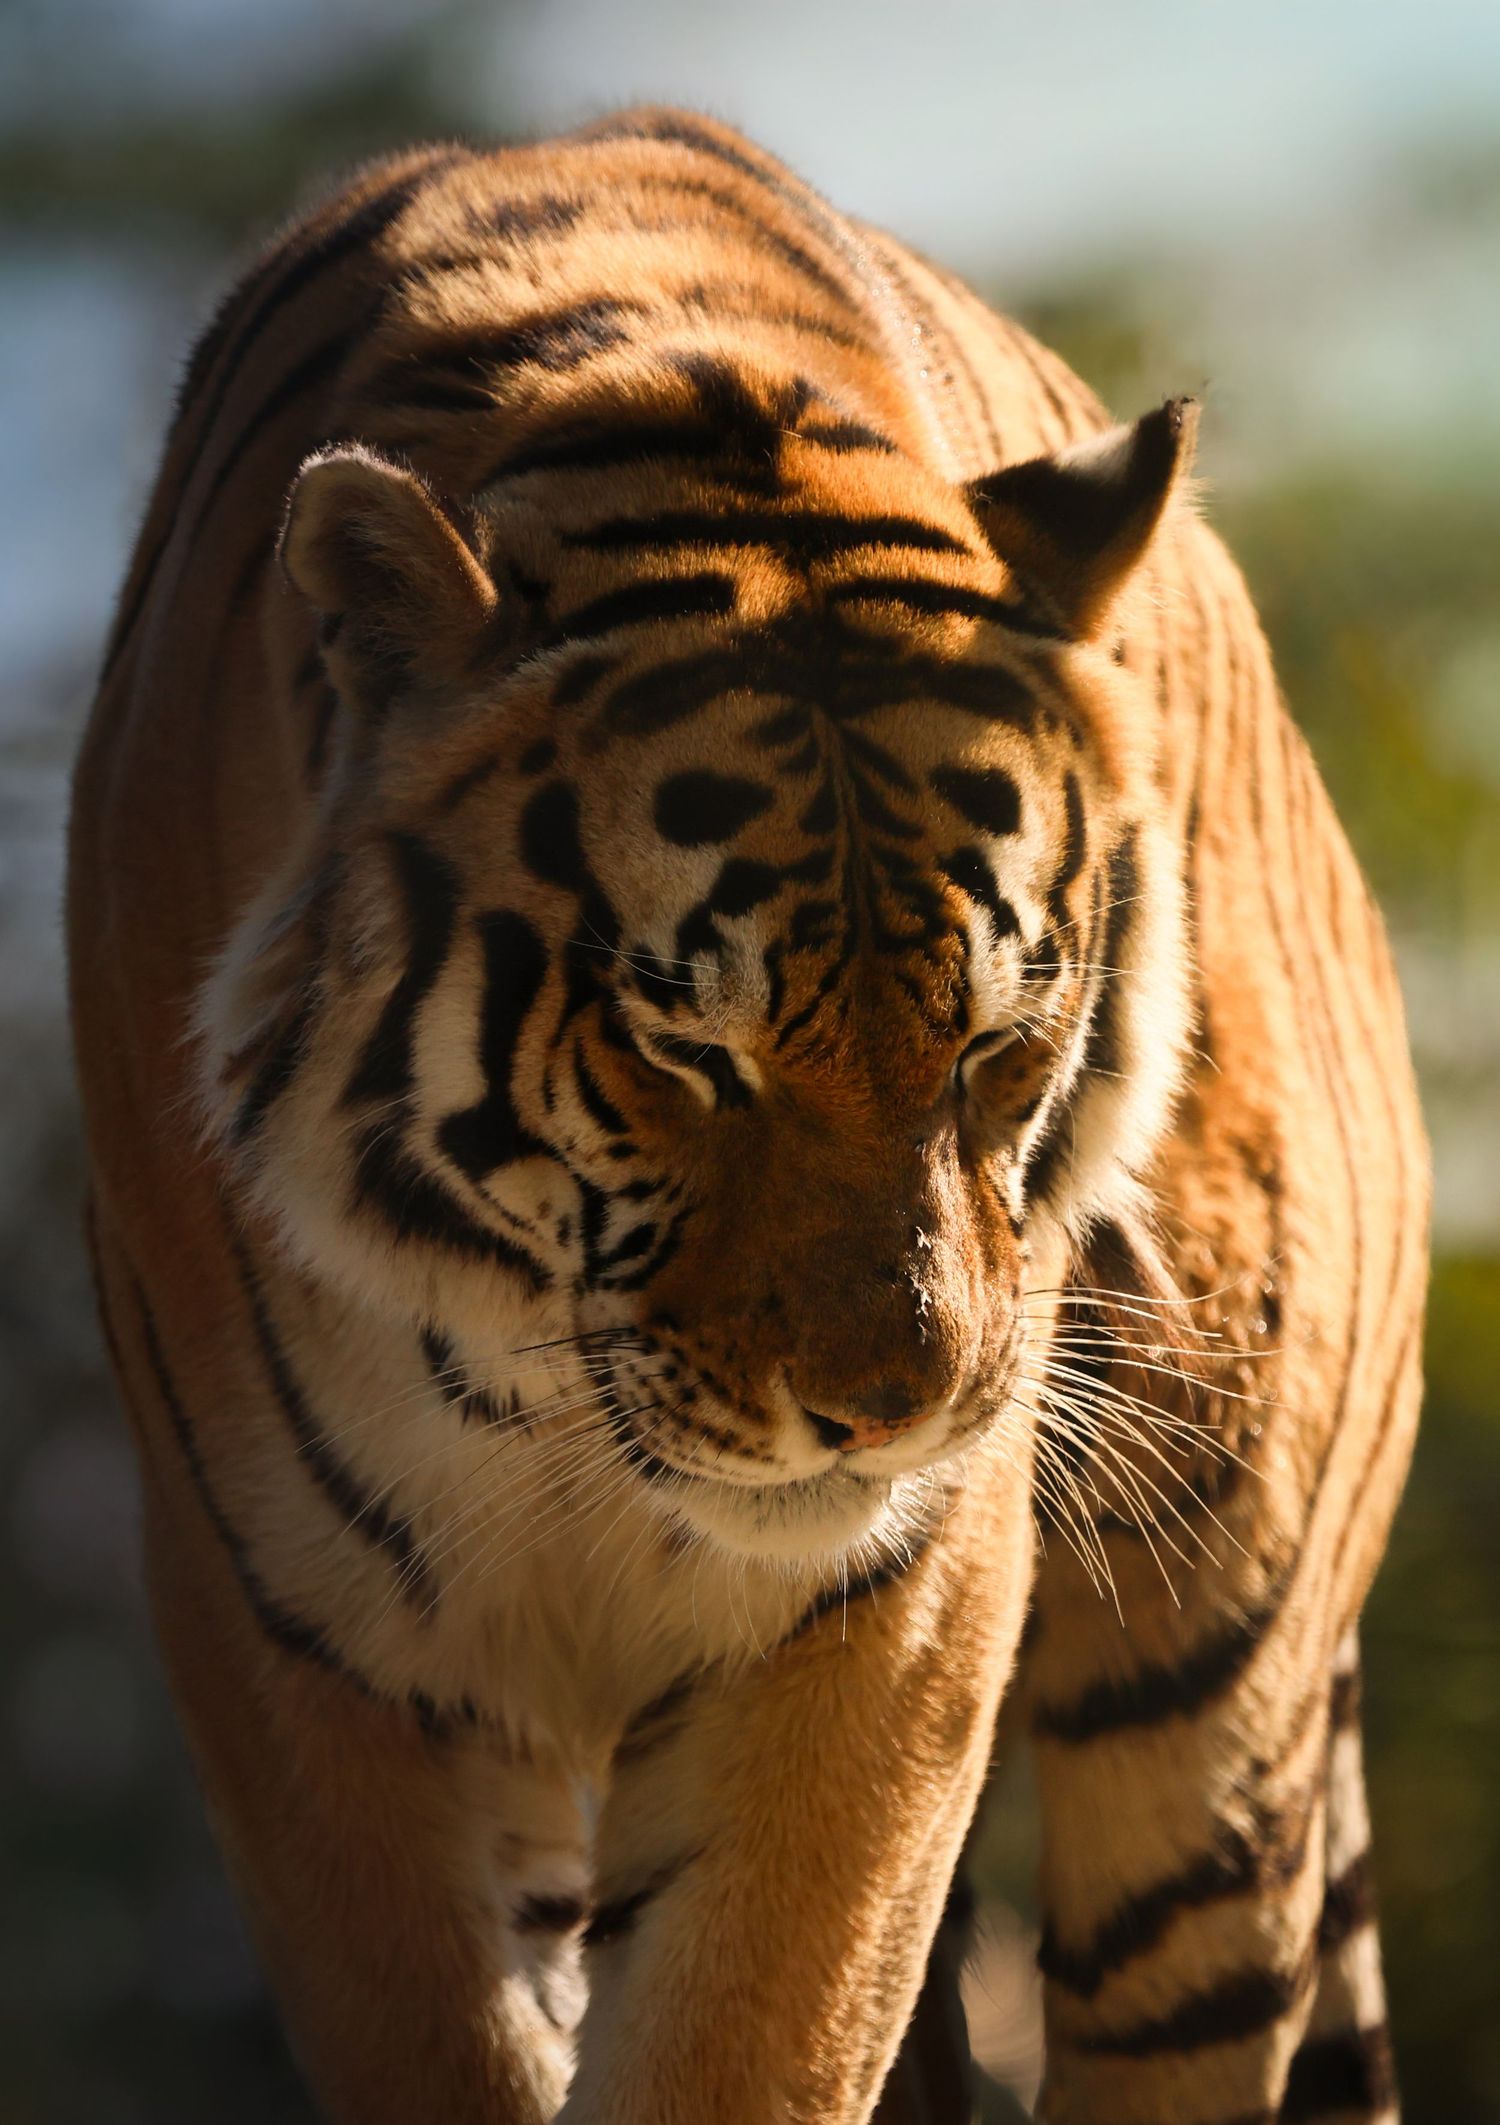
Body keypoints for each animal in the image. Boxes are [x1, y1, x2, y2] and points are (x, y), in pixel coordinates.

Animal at [67, 107, 1428, 2125]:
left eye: (996, 1052)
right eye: (682, 1049)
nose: (896, 1408)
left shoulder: (892, 1610)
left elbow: (746, 2037)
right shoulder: (292, 1636)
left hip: (1214, 1677)